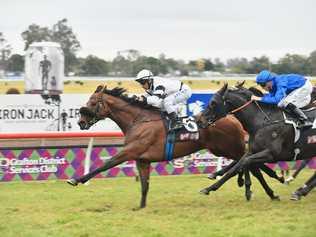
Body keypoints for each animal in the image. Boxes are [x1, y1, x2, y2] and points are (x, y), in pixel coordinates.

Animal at [66, 85, 282, 207]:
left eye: (93, 102)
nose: (81, 122)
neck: (138, 120)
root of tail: (233, 118)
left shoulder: (130, 151)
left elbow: (105, 164)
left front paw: (76, 179)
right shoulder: (142, 159)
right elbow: (144, 184)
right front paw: (141, 206)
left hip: (229, 147)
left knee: (250, 164)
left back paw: (260, 186)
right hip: (224, 149)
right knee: (249, 164)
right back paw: (262, 187)